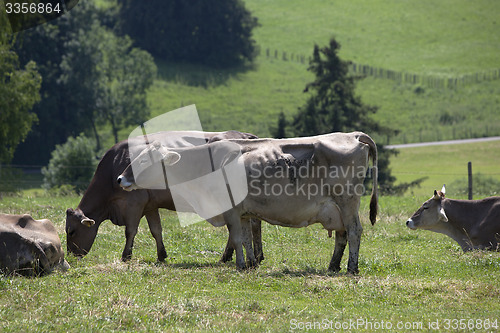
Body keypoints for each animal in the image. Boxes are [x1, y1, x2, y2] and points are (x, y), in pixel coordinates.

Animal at [65, 130, 262, 262]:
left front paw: (126, 256)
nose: (71, 257)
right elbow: (156, 230)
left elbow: (130, 231)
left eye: (71, 231)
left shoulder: (134, 204)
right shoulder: (150, 205)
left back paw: (234, 256)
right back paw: (254, 256)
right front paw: (161, 255)